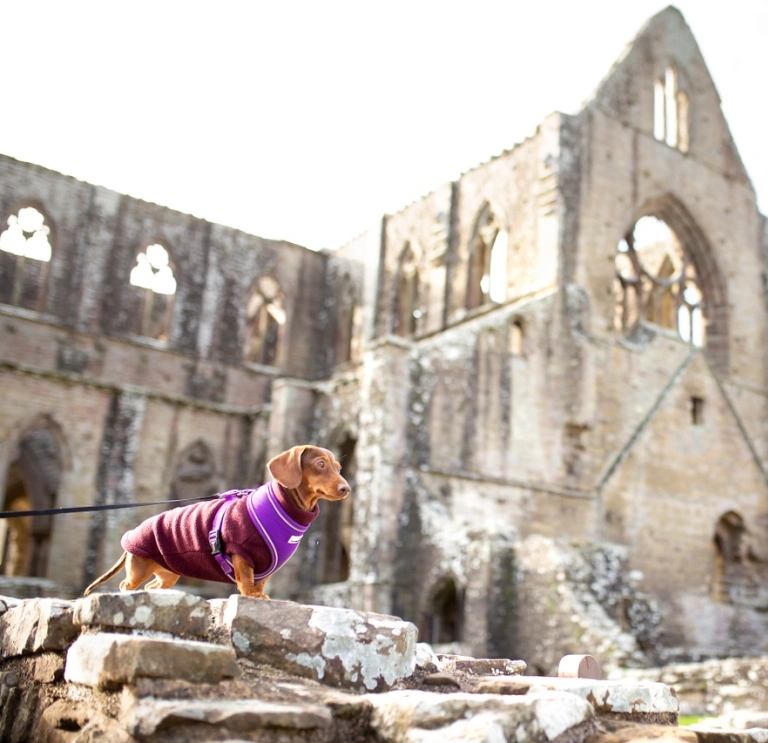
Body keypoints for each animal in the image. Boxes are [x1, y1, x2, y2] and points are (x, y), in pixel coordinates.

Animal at [85, 448, 352, 600]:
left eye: (338, 467)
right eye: (320, 464)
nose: (346, 488)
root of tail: (133, 533)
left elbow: (261, 581)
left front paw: (259, 594)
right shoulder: (240, 552)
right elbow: (246, 578)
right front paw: (251, 595)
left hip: (168, 574)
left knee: (154, 586)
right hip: (139, 567)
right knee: (126, 584)